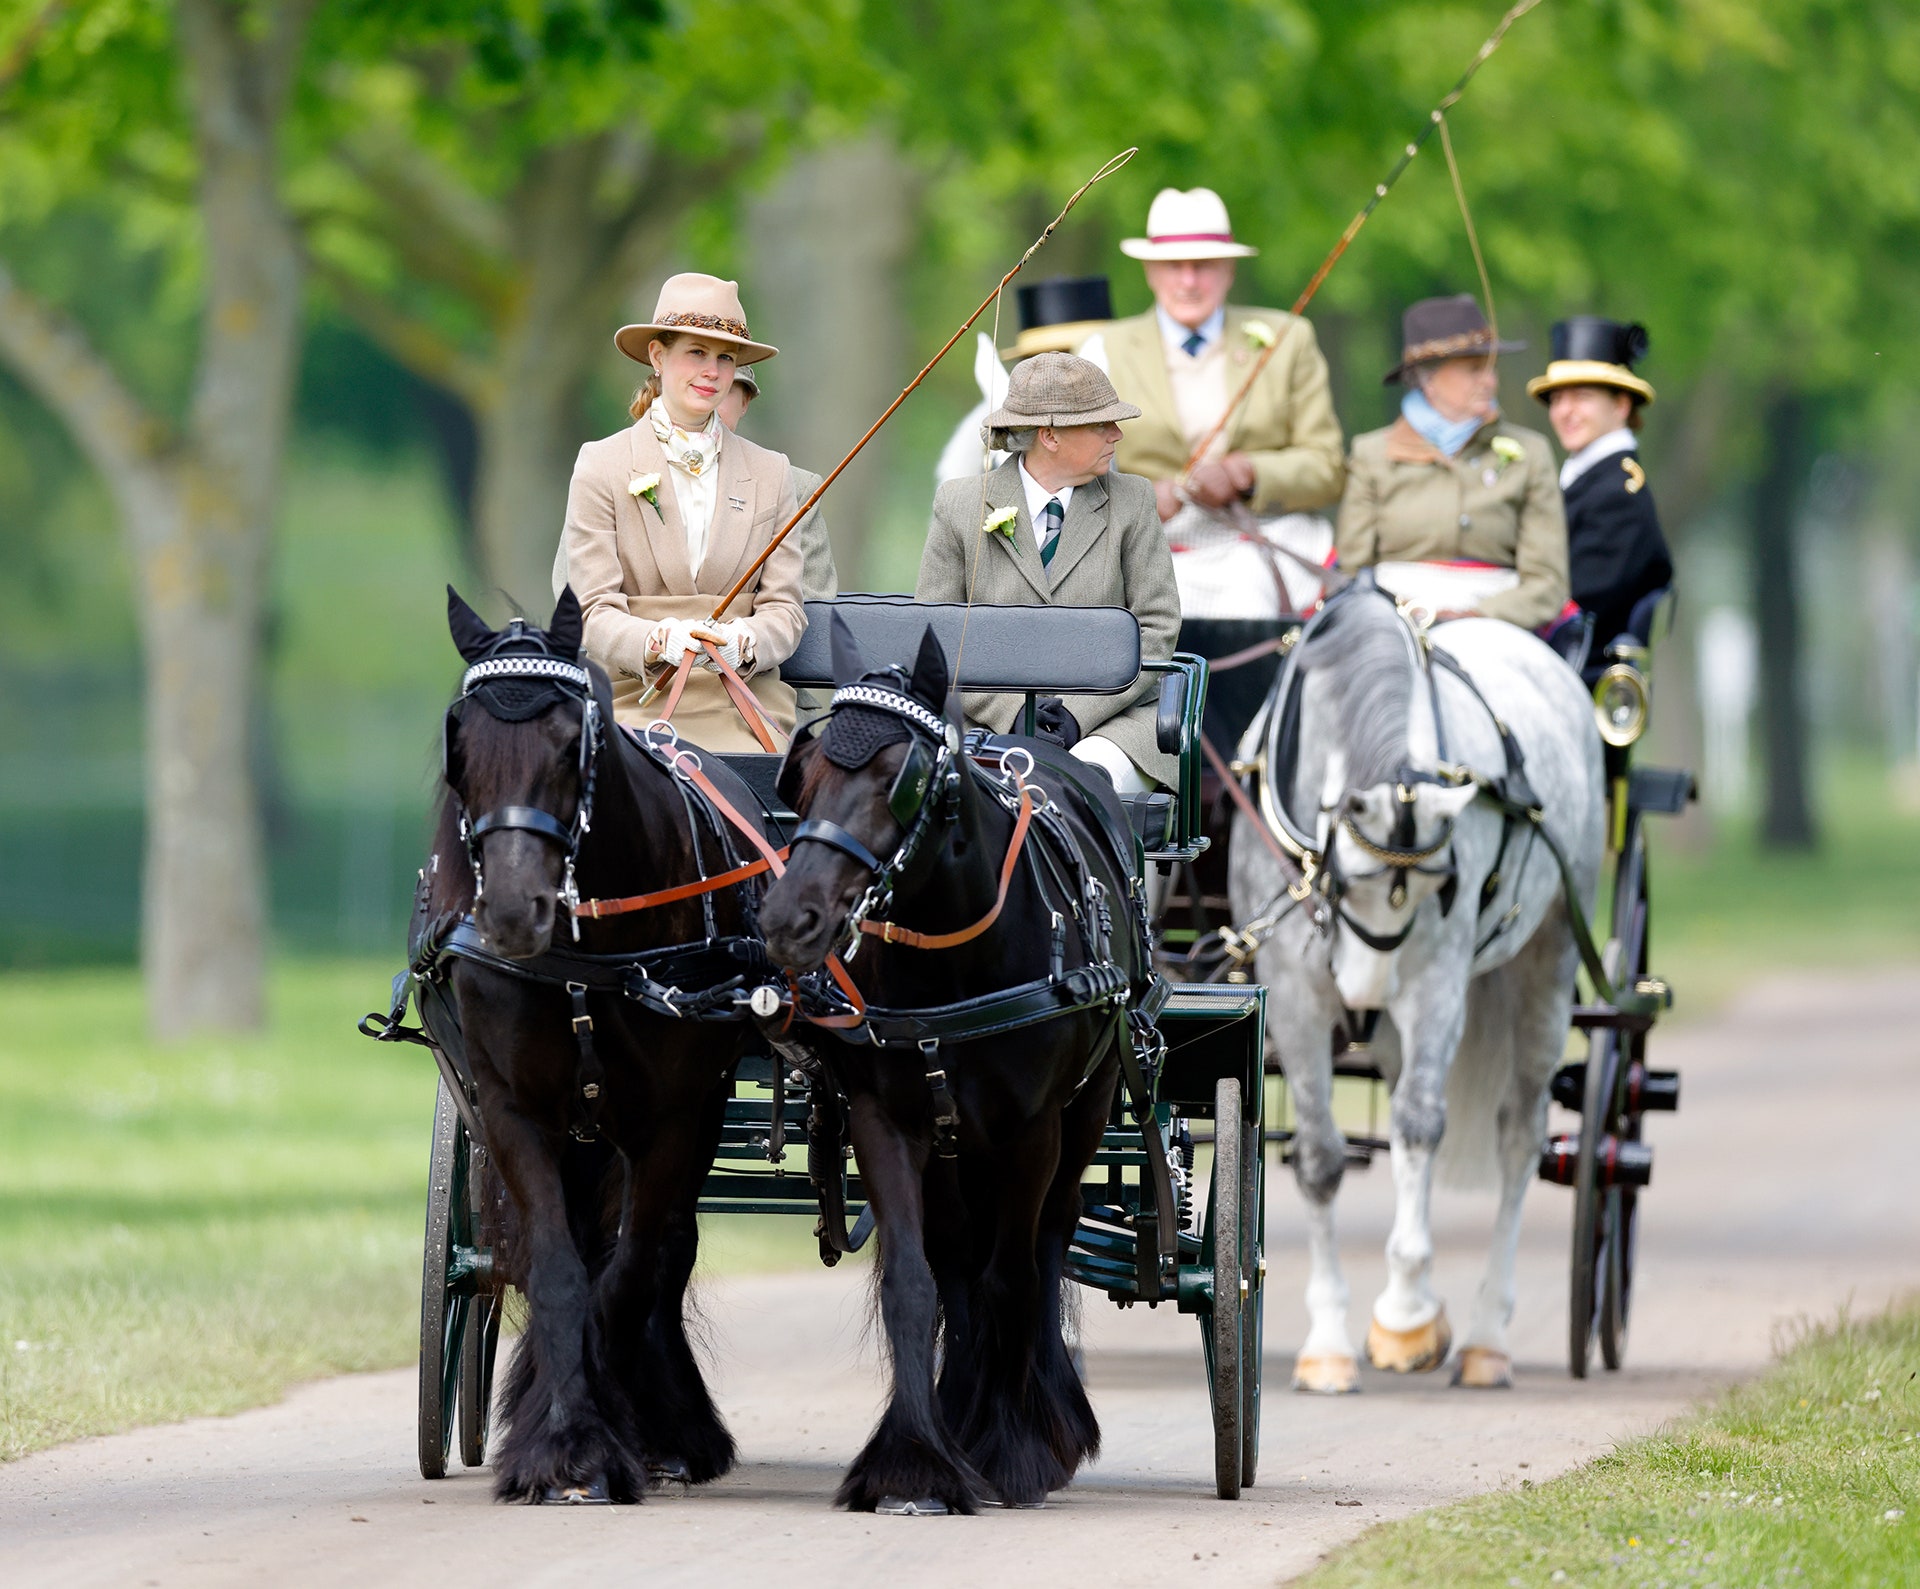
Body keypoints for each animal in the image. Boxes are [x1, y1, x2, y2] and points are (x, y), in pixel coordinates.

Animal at [428, 587, 771, 1504]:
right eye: (458, 742)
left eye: (568, 739)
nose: (515, 912)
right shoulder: (509, 1110)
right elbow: (557, 1270)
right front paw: (562, 1444)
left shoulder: (673, 1116)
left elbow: (627, 1277)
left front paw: (614, 1429)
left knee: (659, 1253)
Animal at [760, 621, 1152, 1512]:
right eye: (804, 774)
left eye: (894, 779)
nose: (789, 917)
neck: (956, 962)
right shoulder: (885, 1120)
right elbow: (916, 1280)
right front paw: (914, 1462)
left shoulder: (1031, 1131)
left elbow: (1014, 1275)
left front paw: (1013, 1452)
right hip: (949, 1145)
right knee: (957, 1262)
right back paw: (961, 1409)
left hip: (1087, 1109)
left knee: (1044, 1242)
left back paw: (1038, 1420)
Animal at [1228, 583, 1605, 1389]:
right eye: (1350, 882)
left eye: (1440, 887)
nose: (1367, 981)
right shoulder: (1295, 994)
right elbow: (1320, 1156)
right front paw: (1331, 1340)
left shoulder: (1435, 984)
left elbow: (1422, 1125)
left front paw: (1401, 1311)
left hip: (1549, 956)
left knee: (1515, 1134)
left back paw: (1487, 1335)